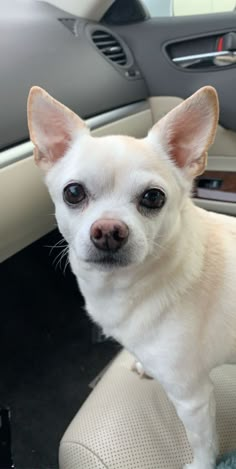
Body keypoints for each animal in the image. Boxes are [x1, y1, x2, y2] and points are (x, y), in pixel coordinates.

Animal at [26, 85, 235, 468]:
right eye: (73, 192)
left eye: (153, 197)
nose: (108, 230)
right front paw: (143, 364)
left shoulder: (194, 399)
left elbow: (202, 442)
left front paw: (200, 464)